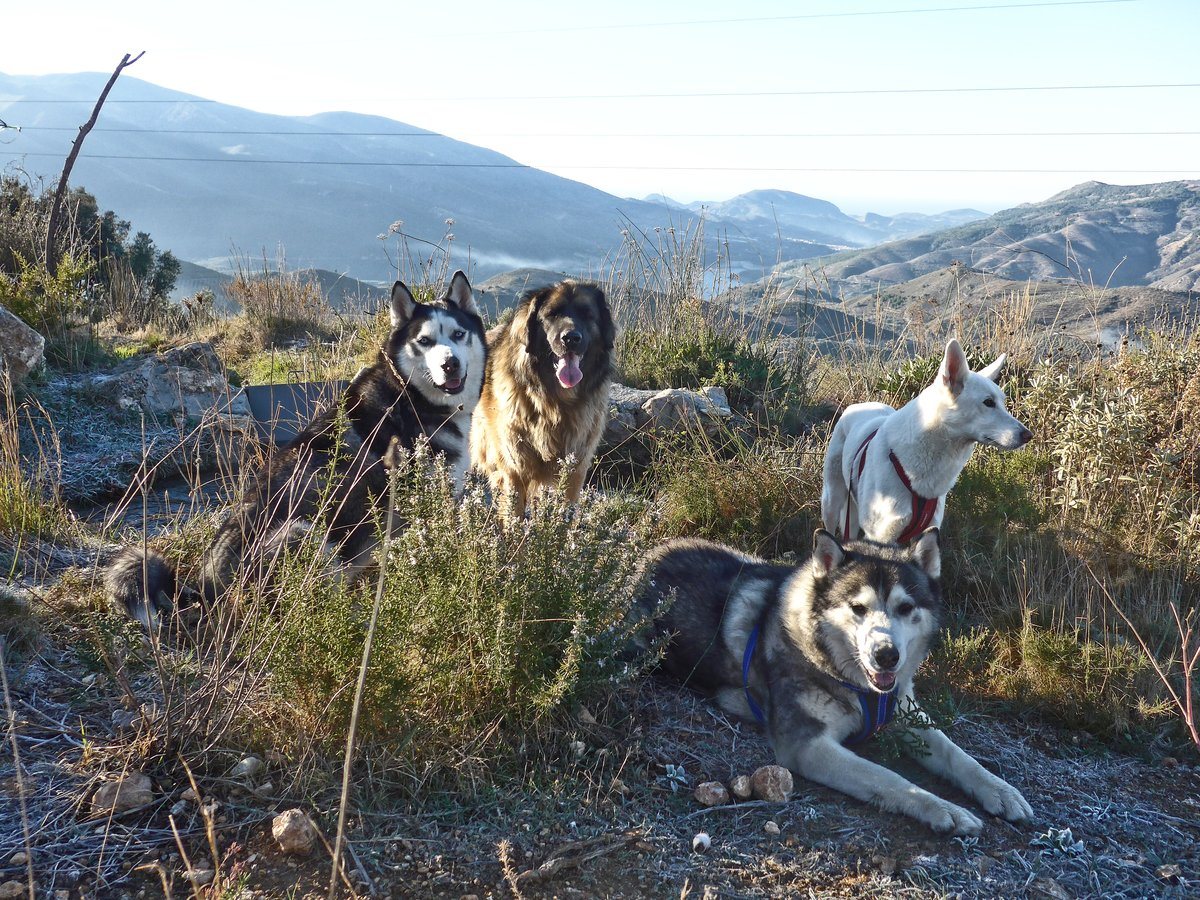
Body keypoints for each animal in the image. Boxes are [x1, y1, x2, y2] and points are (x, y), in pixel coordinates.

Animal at [470, 285, 619, 518]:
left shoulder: (575, 470)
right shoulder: (514, 469)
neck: (555, 402)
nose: (571, 338)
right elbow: (513, 516)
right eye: (551, 314)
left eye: (587, 314)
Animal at [825, 340, 1032, 547]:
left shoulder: (928, 531)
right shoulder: (881, 536)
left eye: (1003, 403)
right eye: (988, 402)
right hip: (831, 501)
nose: (1028, 435)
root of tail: (859, 405)